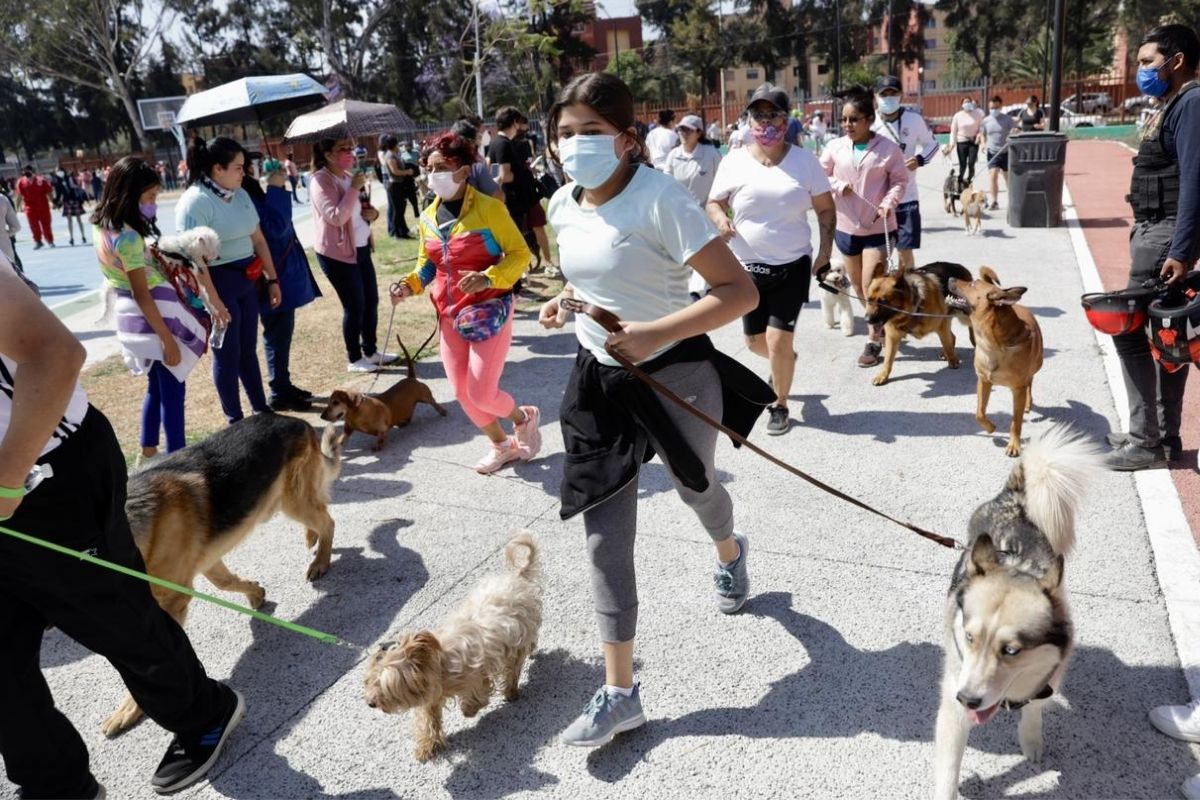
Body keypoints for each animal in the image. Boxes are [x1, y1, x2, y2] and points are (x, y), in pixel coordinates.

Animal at [101, 417, 343, 734]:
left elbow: (155, 664)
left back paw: (321, 560)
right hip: (280, 502)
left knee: (327, 520)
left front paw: (130, 708)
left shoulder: (172, 601)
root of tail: (297, 421)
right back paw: (311, 540)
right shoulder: (208, 561)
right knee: (319, 512)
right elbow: (226, 582)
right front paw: (256, 592)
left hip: (293, 501)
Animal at [360, 532, 540, 762]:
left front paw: (470, 710)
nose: (370, 703)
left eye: (386, 685)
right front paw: (427, 746)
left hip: (517, 638)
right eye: (369, 681)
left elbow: (476, 695)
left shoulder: (475, 675)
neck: (438, 663)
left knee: (514, 665)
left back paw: (511, 690)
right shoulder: (430, 698)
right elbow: (429, 722)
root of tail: (517, 577)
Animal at [931, 429, 1099, 800]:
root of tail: (1014, 498)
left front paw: (1031, 738)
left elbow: (1034, 708)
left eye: (1011, 650)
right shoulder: (954, 702)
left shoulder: (1048, 677)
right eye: (969, 637)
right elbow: (947, 769)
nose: (968, 699)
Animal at [945, 267, 1041, 455]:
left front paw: (1014, 444)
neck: (994, 345)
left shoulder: (1018, 390)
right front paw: (990, 428)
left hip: (1036, 365)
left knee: (1030, 382)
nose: (950, 277)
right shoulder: (983, 381)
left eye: (973, 284)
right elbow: (979, 413)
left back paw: (1028, 401)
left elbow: (1016, 421)